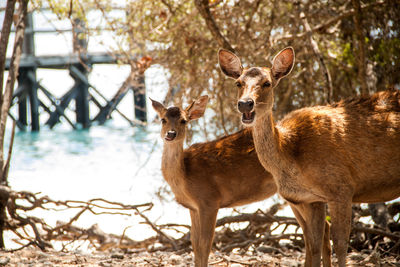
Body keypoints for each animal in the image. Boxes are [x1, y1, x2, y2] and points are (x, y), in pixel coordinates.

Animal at [151, 97, 332, 266]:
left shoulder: (209, 201)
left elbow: (205, 245)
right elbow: (195, 245)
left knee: (318, 231)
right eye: (163, 119)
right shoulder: (193, 208)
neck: (185, 176)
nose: (171, 134)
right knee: (313, 231)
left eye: (183, 120)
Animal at [219, 47, 400, 266]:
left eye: (267, 83)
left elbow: (340, 244)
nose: (245, 104)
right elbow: (313, 245)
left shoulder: (342, 188)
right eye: (238, 82)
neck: (291, 155)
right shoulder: (308, 200)